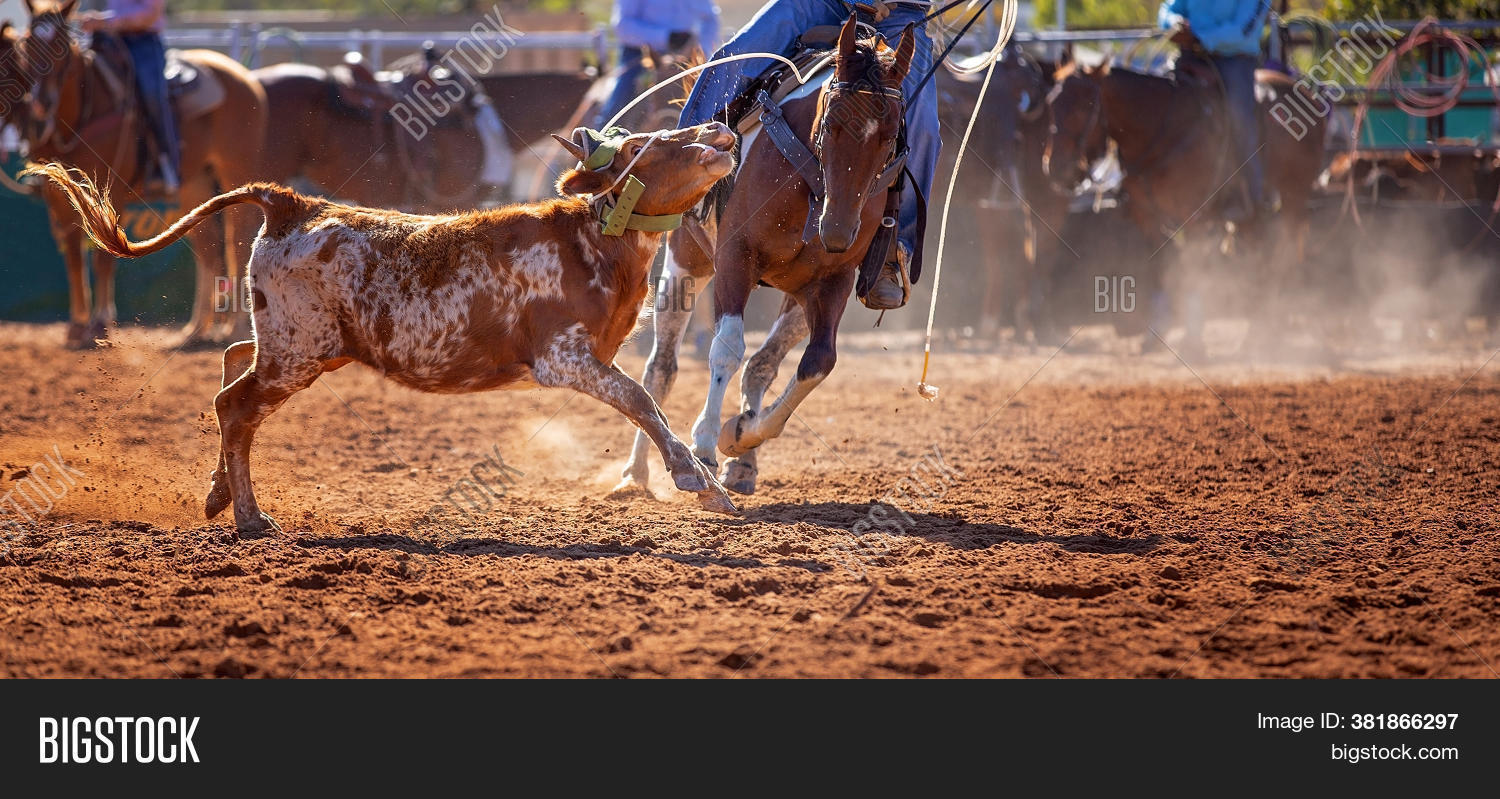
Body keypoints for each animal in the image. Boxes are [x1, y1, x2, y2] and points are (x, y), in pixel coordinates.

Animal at [24, 121, 741, 536]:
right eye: (651, 145)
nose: (718, 129)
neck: (594, 240)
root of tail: (294, 204)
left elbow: (645, 399)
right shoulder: (563, 357)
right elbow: (642, 399)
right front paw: (700, 485)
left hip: (299, 343)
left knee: (232, 363)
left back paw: (217, 495)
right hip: (300, 351)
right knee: (235, 403)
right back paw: (251, 517)